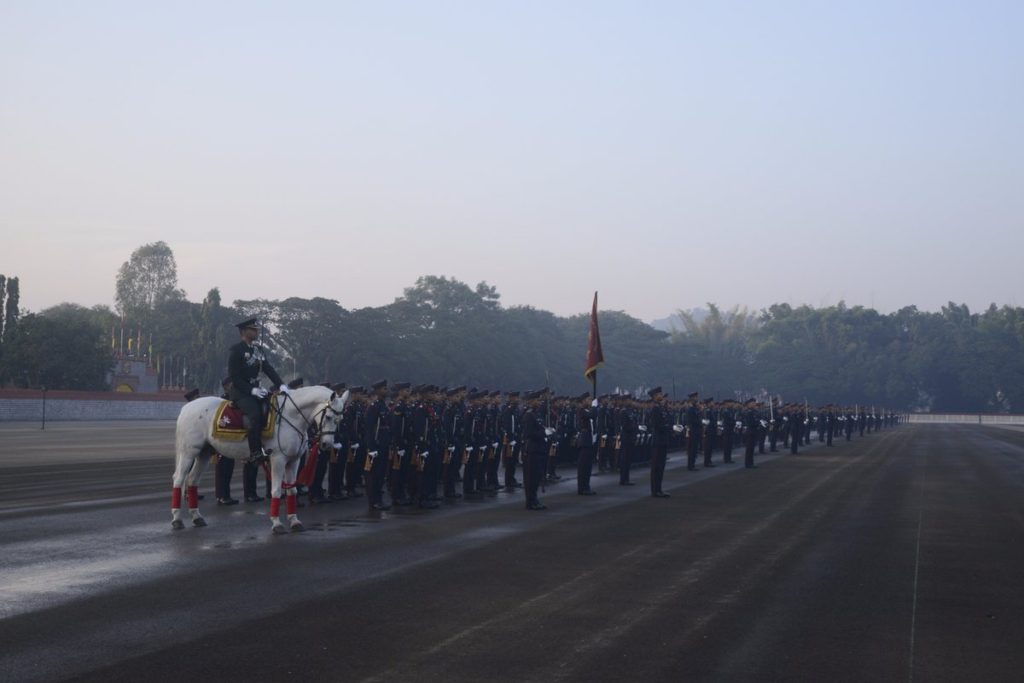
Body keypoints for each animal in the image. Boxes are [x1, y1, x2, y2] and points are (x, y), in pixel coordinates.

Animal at [172, 385, 348, 532]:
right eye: (329, 417)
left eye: (340, 420)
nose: (326, 444)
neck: (291, 416)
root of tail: (187, 407)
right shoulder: (278, 460)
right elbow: (276, 490)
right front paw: (277, 523)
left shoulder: (294, 461)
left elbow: (292, 490)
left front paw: (294, 521)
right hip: (189, 452)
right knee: (179, 479)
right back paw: (177, 519)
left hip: (204, 453)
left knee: (192, 480)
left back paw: (196, 517)